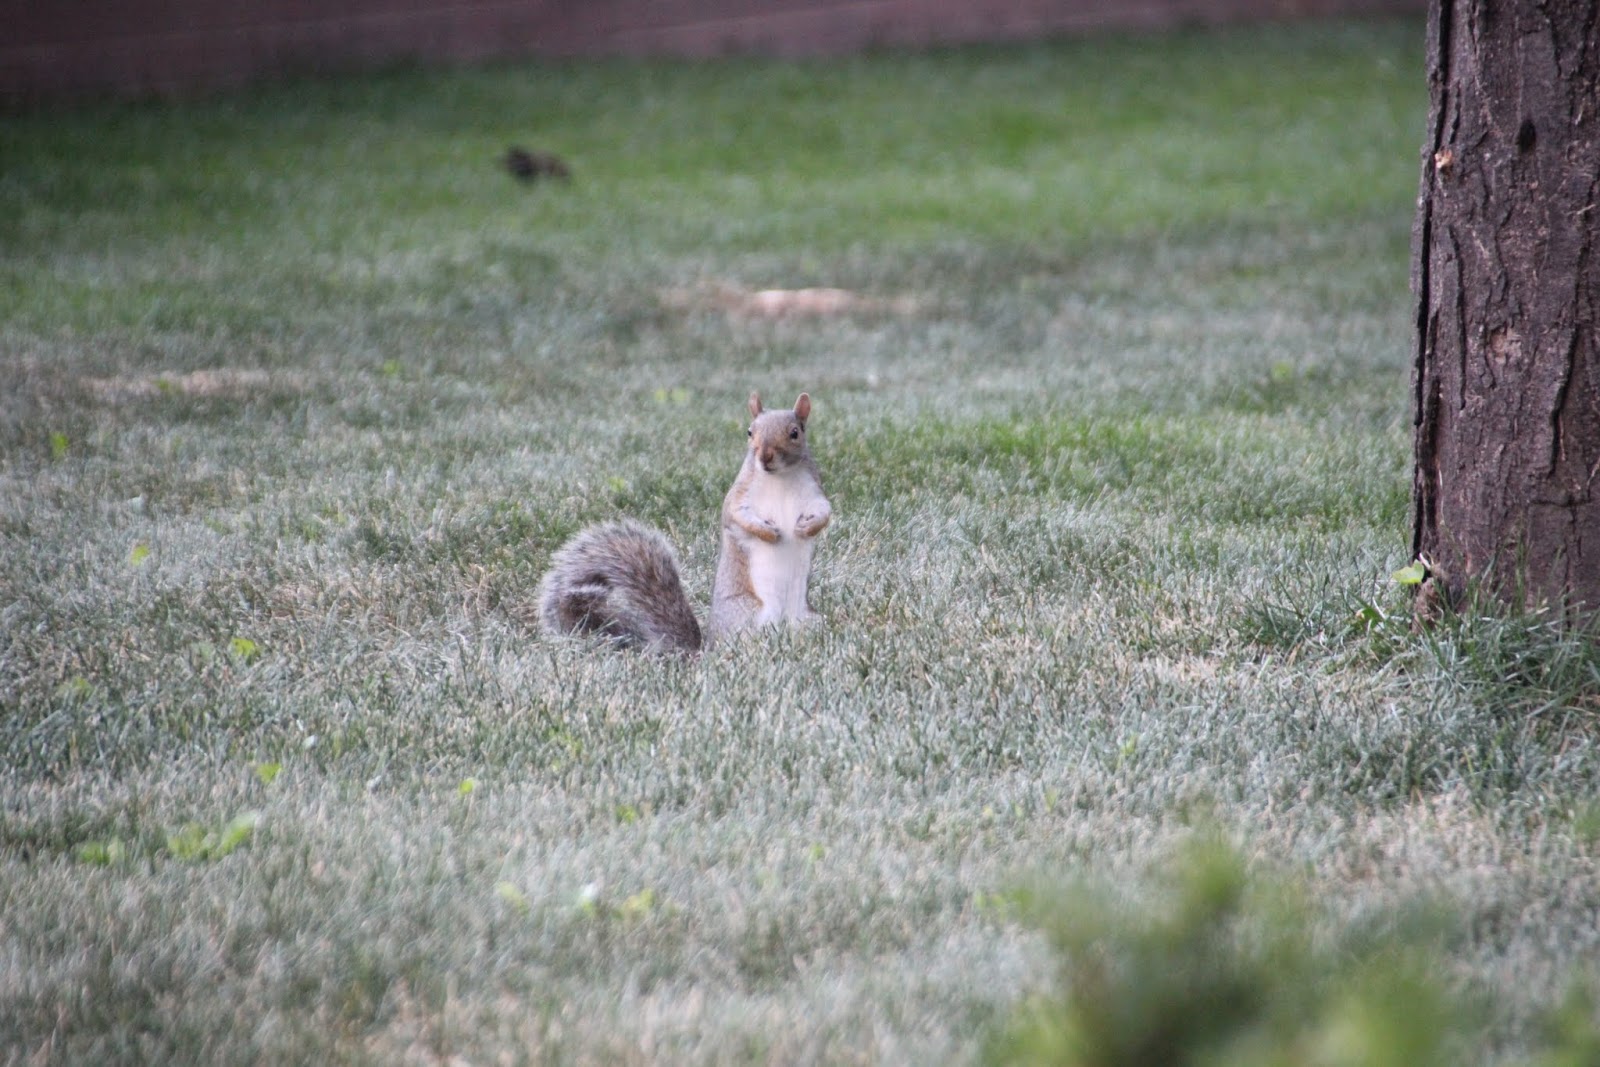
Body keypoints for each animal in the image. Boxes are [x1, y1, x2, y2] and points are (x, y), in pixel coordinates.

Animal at [540, 395, 838, 652]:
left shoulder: (813, 492)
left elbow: (824, 511)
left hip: (810, 619)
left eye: (795, 433)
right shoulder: (738, 497)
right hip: (749, 615)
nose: (764, 457)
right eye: (749, 432)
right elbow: (737, 517)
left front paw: (808, 528)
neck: (780, 478)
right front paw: (767, 532)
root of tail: (706, 650)